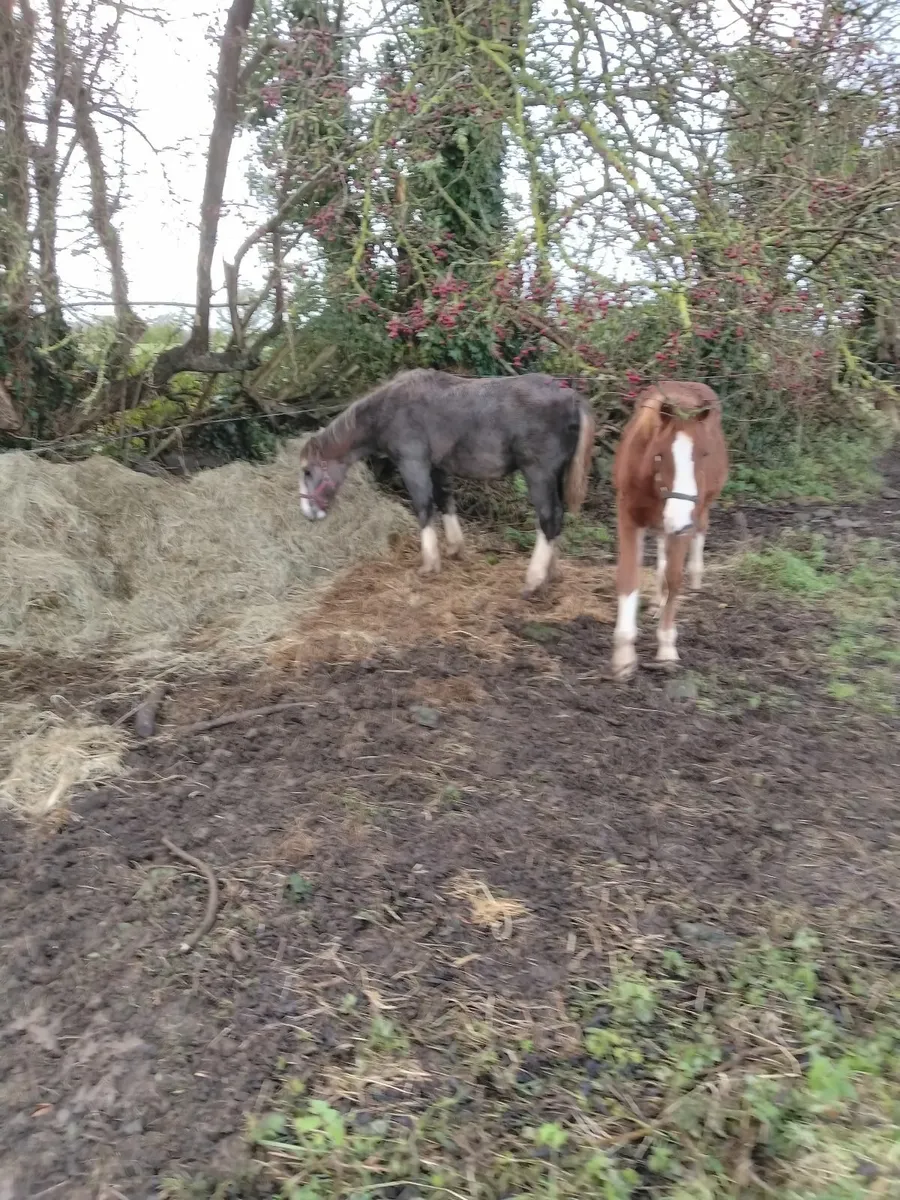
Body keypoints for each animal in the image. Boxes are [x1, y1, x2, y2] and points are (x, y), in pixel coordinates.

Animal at [297, 368, 596, 596]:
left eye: (308, 472)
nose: (307, 513)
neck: (390, 408)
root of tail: (570, 398)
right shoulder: (438, 467)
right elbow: (445, 501)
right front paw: (454, 548)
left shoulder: (413, 464)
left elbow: (424, 508)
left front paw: (430, 564)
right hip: (555, 477)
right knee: (557, 518)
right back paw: (550, 574)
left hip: (538, 474)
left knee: (548, 520)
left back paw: (534, 580)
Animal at [611, 380, 729, 680]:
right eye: (659, 454)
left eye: (704, 454)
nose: (680, 519)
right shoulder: (628, 518)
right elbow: (629, 579)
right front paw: (624, 655)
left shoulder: (685, 521)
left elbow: (675, 579)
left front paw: (666, 648)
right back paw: (657, 600)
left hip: (700, 508)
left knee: (698, 532)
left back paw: (695, 576)